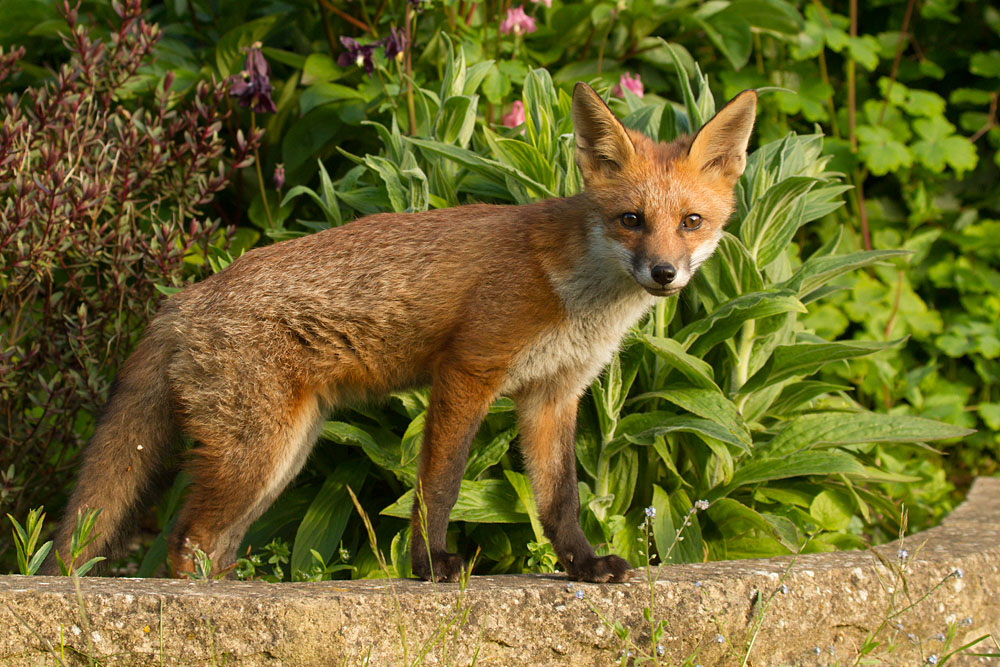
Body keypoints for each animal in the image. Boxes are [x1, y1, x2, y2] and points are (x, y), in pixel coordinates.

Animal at [51, 83, 756, 583]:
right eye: (631, 220)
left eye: (691, 222)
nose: (664, 273)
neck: (576, 294)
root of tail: (186, 298)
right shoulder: (468, 370)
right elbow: (440, 484)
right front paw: (429, 566)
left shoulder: (553, 395)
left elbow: (559, 501)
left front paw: (583, 567)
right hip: (256, 453)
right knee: (184, 543)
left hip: (283, 454)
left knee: (210, 547)